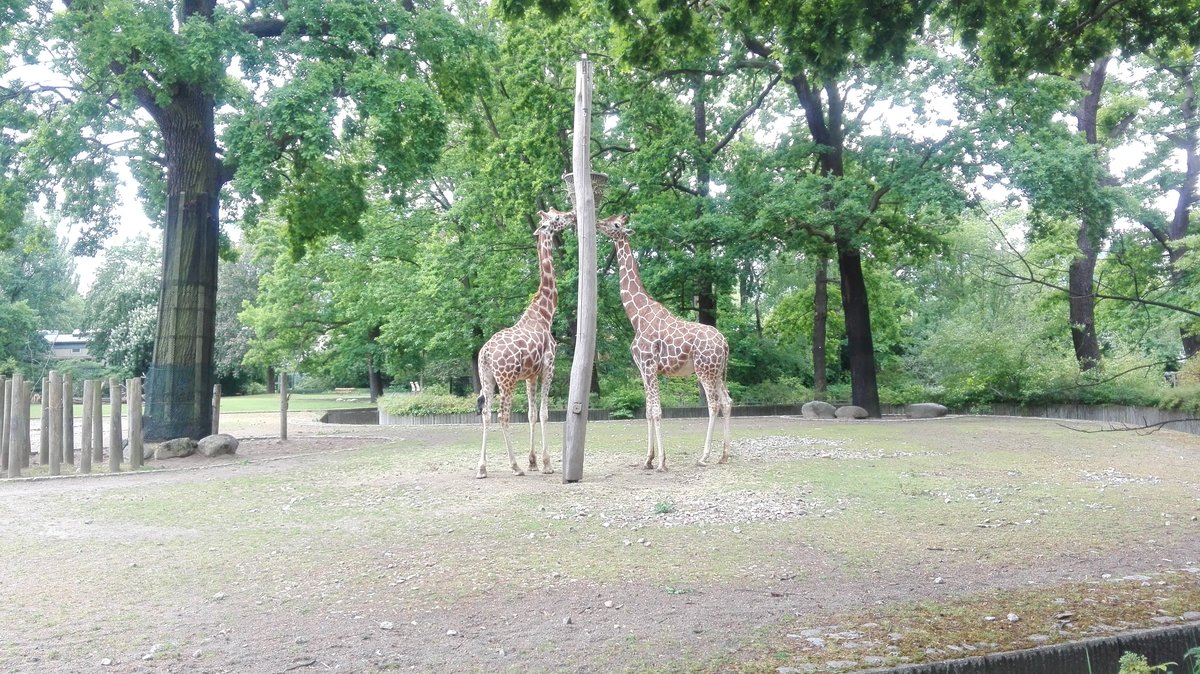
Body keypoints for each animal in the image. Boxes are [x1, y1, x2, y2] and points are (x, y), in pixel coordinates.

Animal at [475, 207, 573, 474]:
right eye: (556, 218)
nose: (572, 216)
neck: (545, 313)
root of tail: (485, 354)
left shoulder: (530, 375)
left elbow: (530, 413)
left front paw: (533, 461)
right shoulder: (549, 366)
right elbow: (544, 412)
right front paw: (546, 463)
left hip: (487, 377)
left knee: (486, 414)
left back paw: (482, 468)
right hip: (506, 379)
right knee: (503, 416)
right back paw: (514, 465)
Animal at [597, 213, 734, 467]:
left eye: (616, 224)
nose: (599, 223)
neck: (636, 315)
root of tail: (725, 343)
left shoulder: (650, 365)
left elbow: (657, 411)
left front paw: (661, 461)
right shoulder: (643, 369)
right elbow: (648, 411)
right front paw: (648, 459)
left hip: (705, 370)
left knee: (713, 404)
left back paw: (704, 456)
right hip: (718, 371)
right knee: (727, 402)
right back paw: (724, 455)